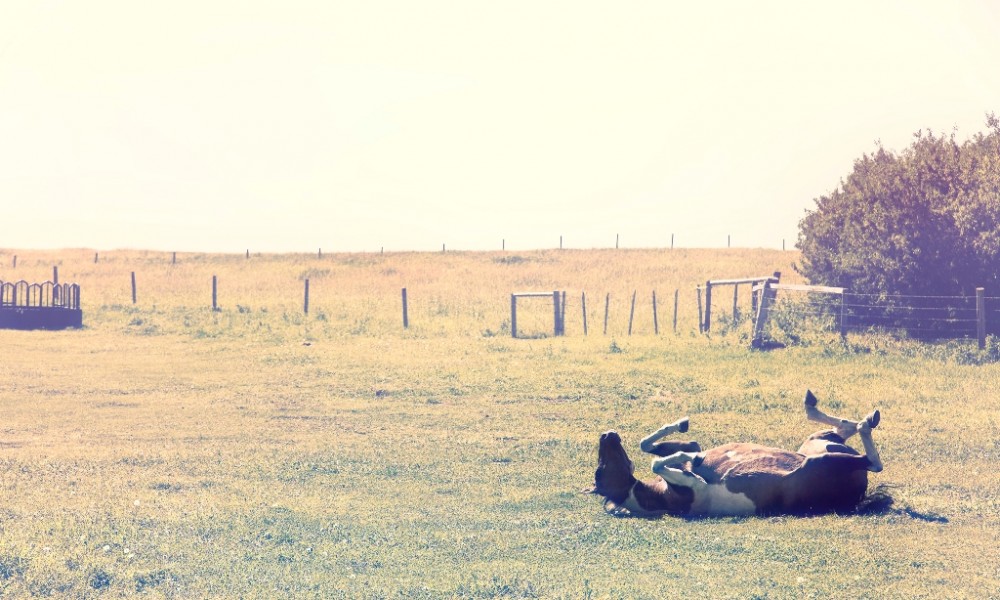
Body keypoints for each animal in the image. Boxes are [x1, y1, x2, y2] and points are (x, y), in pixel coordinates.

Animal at [589, 390, 883, 517]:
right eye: (599, 472)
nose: (607, 435)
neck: (661, 495)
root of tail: (857, 493)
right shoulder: (695, 487)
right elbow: (656, 463)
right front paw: (684, 458)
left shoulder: (693, 450)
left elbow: (648, 446)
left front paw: (681, 429)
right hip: (820, 462)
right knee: (872, 461)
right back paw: (865, 423)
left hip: (816, 444)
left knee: (841, 428)